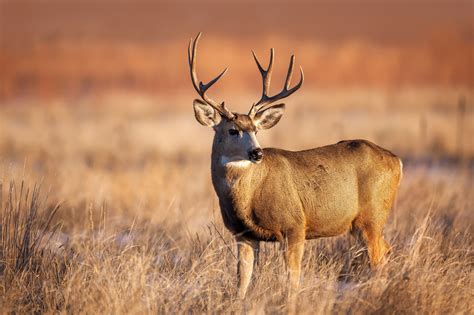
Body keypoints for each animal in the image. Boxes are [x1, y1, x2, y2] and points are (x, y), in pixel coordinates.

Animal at [187, 33, 402, 298]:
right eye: (233, 130)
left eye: (256, 129)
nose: (257, 152)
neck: (247, 198)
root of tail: (396, 160)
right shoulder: (243, 234)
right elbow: (242, 283)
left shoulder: (295, 225)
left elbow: (292, 281)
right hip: (362, 223)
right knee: (387, 250)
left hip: (372, 216)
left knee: (379, 261)